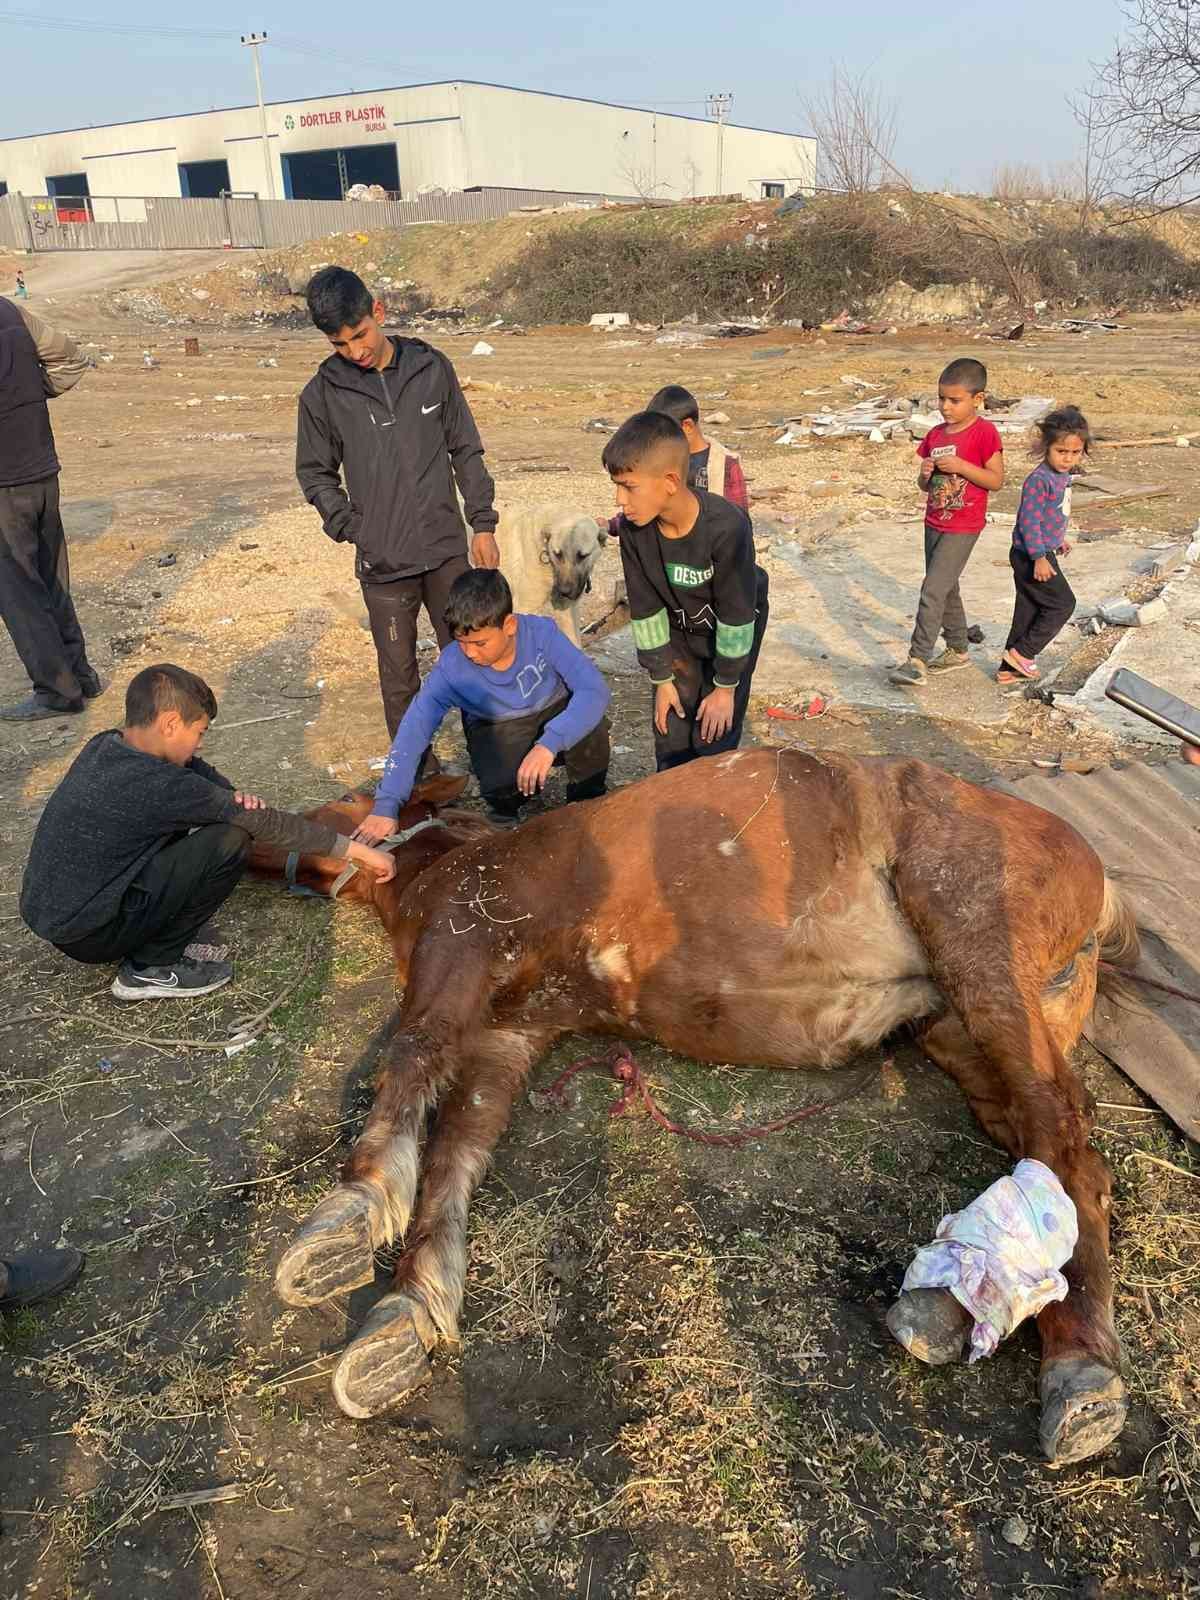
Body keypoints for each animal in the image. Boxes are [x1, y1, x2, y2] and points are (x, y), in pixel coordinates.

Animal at [251, 748, 1139, 1465]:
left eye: (350, 798)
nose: (251, 827)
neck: (464, 862)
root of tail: (1100, 882)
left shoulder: (459, 951)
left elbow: (412, 1056)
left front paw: (348, 1216)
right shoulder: (509, 1034)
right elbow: (458, 1146)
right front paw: (408, 1308)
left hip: (978, 949)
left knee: (1062, 1132)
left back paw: (1080, 1368)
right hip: (955, 1030)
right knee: (1047, 1151)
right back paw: (956, 1310)